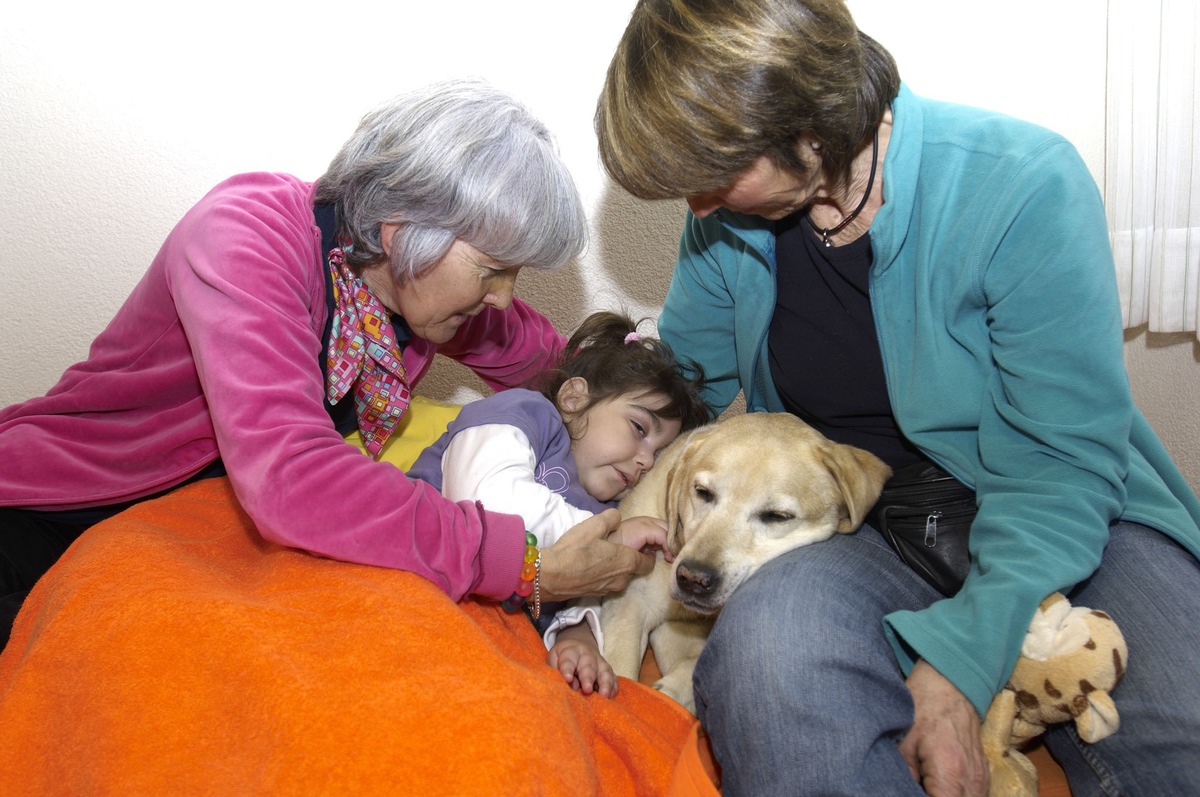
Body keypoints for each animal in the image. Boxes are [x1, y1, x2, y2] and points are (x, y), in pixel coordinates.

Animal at [600, 410, 892, 710]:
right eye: (702, 492)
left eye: (777, 516)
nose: (693, 579)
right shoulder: (630, 605)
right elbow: (621, 671)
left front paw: (669, 692)